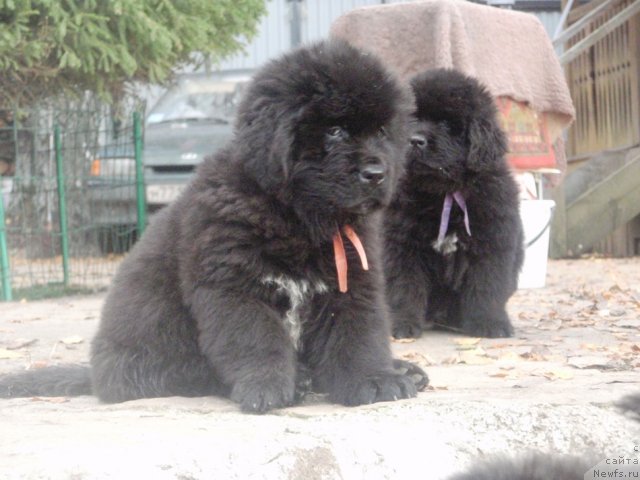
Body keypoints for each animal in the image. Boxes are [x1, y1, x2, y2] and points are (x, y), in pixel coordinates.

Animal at [3, 40, 430, 412]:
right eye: (336, 131)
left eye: (382, 132)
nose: (377, 174)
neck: (296, 218)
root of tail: (97, 373)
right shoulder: (234, 286)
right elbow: (257, 341)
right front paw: (270, 386)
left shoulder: (351, 281)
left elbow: (357, 335)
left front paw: (373, 379)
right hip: (153, 347)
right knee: (184, 373)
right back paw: (303, 378)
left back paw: (400, 369)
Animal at [382, 68, 524, 338]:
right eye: (413, 119)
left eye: (447, 124)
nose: (415, 140)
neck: (444, 193)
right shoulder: (401, 245)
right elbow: (403, 286)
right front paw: (402, 324)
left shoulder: (491, 242)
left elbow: (487, 285)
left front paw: (490, 323)